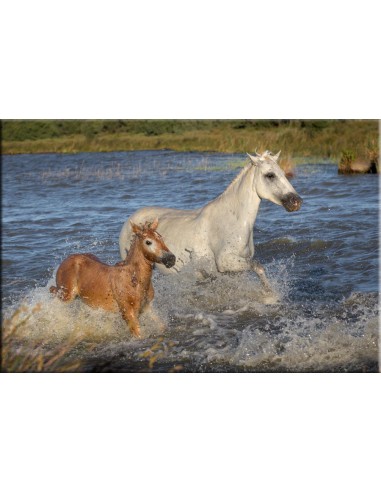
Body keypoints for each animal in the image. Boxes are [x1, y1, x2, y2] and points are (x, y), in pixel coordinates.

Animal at [119, 150, 302, 288]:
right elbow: (258, 267)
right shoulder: (226, 262)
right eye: (270, 175)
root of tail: (130, 220)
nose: (296, 201)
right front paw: (269, 296)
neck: (233, 221)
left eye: (284, 173)